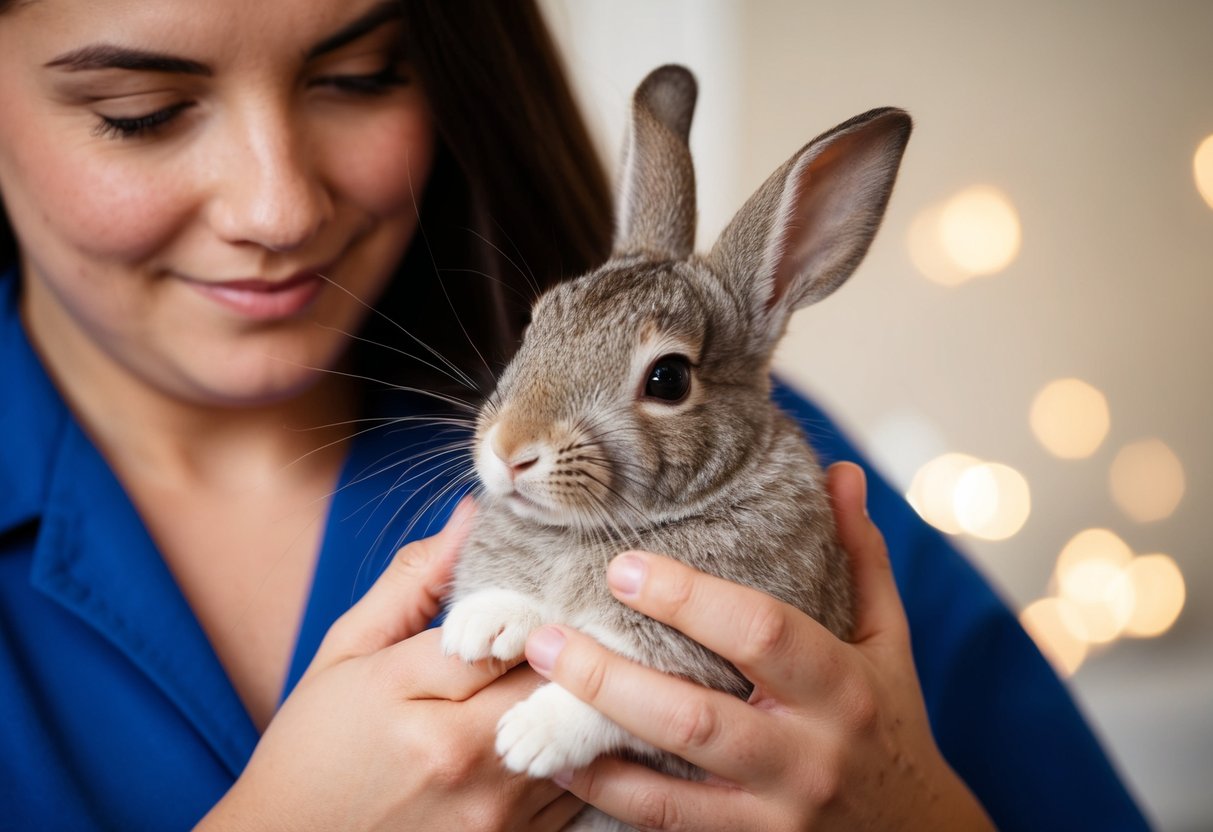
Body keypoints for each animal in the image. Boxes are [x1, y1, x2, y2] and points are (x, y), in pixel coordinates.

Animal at [440, 64, 911, 831]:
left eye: (668, 379)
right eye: (537, 323)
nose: (511, 450)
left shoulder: (717, 666)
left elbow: (626, 676)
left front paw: (532, 735)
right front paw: (480, 624)